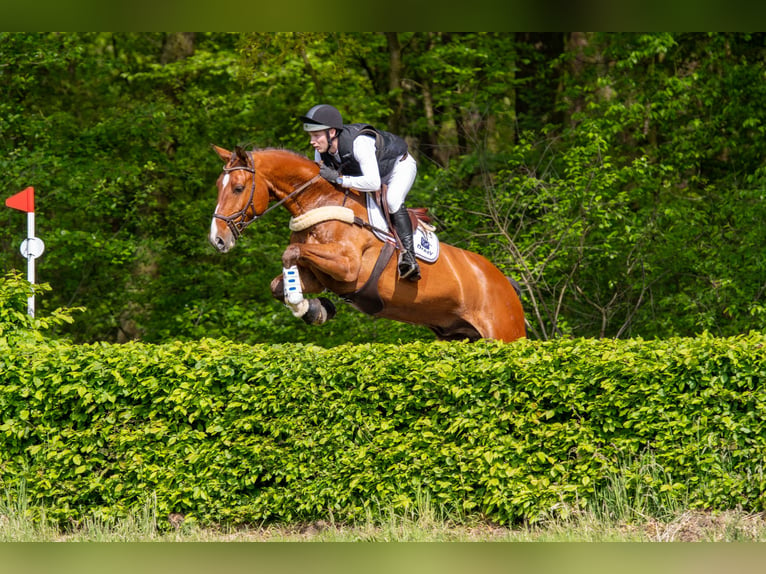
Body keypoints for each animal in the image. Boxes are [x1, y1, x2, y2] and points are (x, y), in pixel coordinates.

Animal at [207, 146, 528, 344]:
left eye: (238, 188)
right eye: (218, 187)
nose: (217, 239)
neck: (320, 201)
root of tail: (506, 282)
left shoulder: (347, 267)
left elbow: (290, 253)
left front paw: (303, 303)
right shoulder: (319, 275)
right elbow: (278, 285)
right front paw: (315, 310)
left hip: (506, 332)